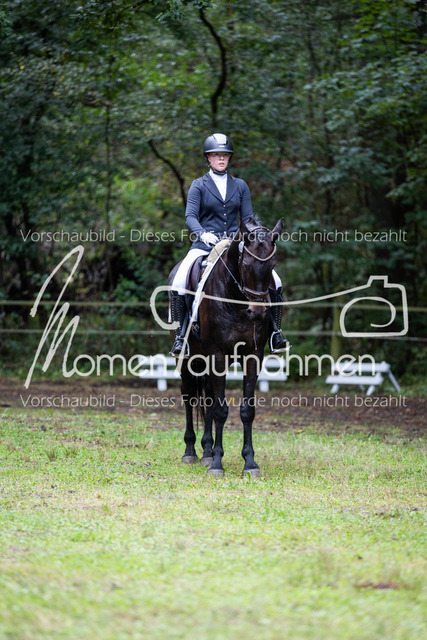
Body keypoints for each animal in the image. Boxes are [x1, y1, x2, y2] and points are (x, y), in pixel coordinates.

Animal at [169, 216, 284, 477]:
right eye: (246, 264)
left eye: (272, 264)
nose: (257, 313)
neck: (237, 301)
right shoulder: (218, 354)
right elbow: (221, 411)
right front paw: (217, 465)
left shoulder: (253, 355)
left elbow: (246, 411)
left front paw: (249, 463)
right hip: (187, 359)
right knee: (189, 397)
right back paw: (191, 451)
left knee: (208, 397)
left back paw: (207, 451)